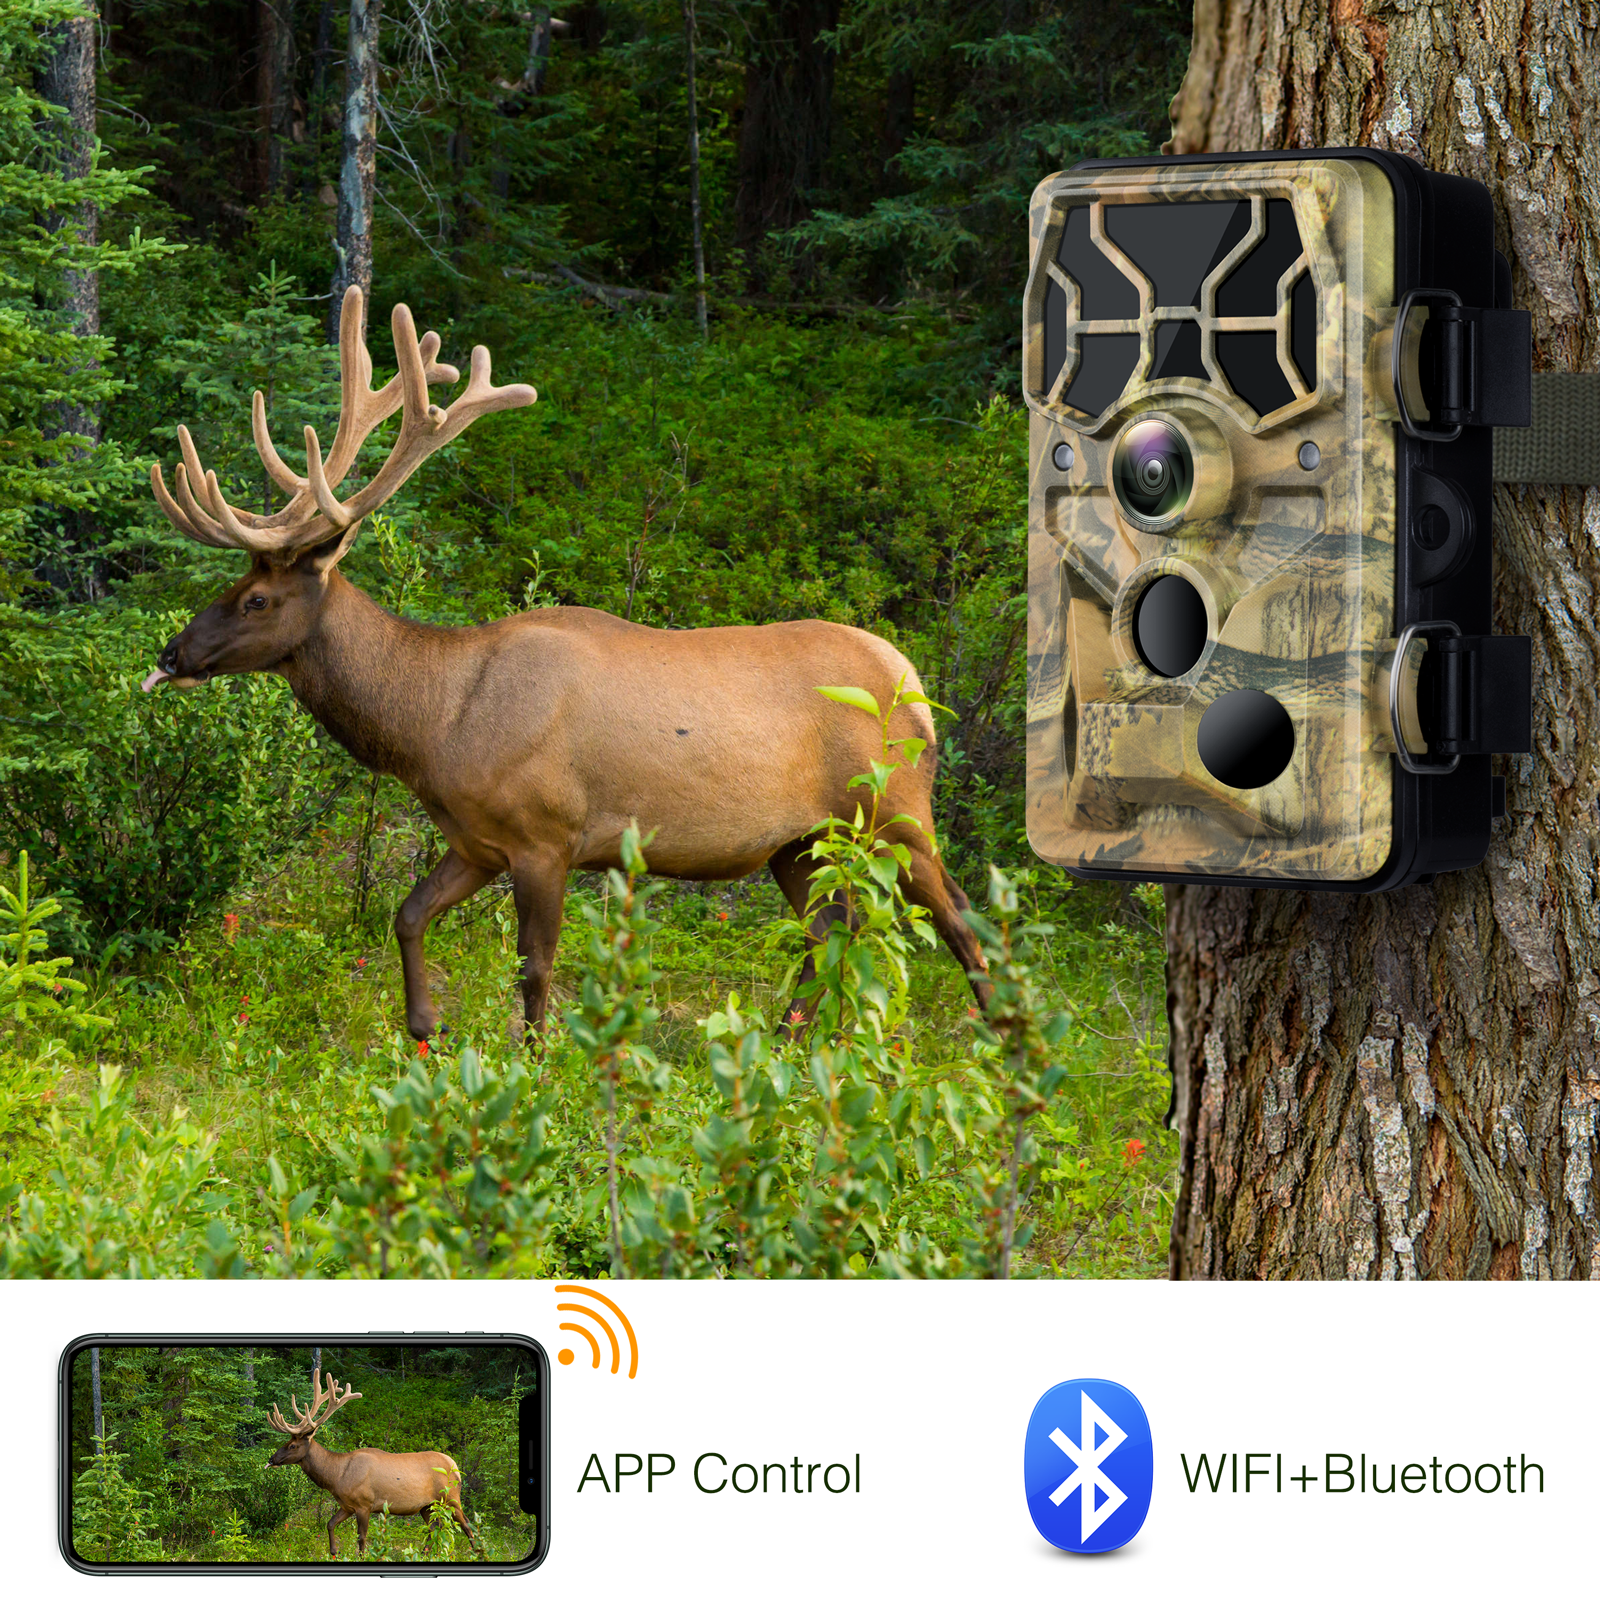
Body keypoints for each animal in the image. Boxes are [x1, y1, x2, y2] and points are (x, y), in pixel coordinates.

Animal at [140, 284, 991, 1042]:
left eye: (256, 598)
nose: (171, 652)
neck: (433, 724)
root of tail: (917, 685)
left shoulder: (546, 835)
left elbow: (536, 968)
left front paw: (537, 1066)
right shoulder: (474, 840)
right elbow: (407, 914)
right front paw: (424, 1030)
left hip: (898, 810)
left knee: (960, 922)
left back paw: (995, 1047)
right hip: (797, 842)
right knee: (828, 935)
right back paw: (787, 1046)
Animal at [264, 1369, 481, 1559]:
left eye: (292, 1445)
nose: (271, 1459)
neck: (336, 1476)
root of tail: (456, 1467)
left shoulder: (364, 1504)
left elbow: (361, 1538)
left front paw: (361, 1556)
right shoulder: (347, 1505)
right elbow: (330, 1524)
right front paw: (334, 1552)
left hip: (451, 1498)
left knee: (467, 1524)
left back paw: (477, 1553)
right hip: (427, 1505)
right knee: (434, 1528)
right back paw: (424, 1555)